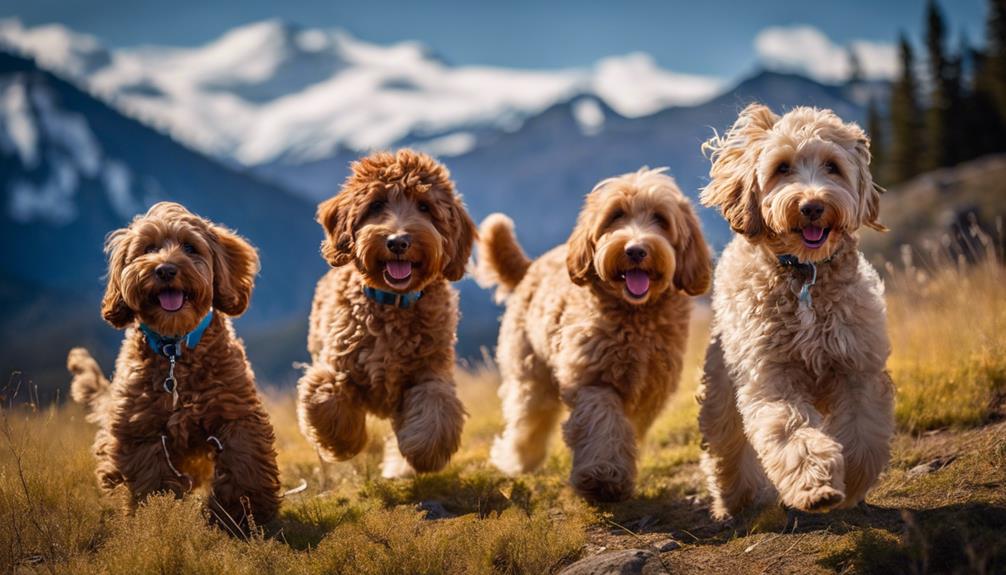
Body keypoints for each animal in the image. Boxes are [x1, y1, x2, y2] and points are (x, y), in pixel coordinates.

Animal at [66, 201, 279, 530]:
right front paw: (159, 518)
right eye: (148, 249)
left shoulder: (236, 414)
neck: (174, 352)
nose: (165, 269)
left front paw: (244, 516)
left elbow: (245, 465)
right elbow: (153, 483)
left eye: (190, 247)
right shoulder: (142, 431)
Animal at [295, 147, 476, 476]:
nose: (398, 242)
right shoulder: (337, 366)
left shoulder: (429, 373)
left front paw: (422, 453)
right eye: (376, 204)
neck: (393, 303)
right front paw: (345, 443)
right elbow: (325, 396)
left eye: (425, 206)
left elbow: (436, 410)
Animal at [474, 168, 712, 500]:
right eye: (616, 215)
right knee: (528, 418)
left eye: (661, 218)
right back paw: (517, 459)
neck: (634, 317)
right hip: (529, 370)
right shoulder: (593, 378)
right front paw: (602, 476)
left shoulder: (651, 389)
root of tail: (532, 266)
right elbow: (603, 424)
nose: (635, 250)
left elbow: (627, 428)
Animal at [696, 104, 893, 522]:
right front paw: (815, 485)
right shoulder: (772, 377)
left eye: (833, 166)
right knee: (726, 448)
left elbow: (863, 433)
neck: (806, 275)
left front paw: (851, 483)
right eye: (782, 167)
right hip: (721, 392)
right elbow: (791, 430)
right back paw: (734, 501)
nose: (812, 206)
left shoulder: (857, 367)